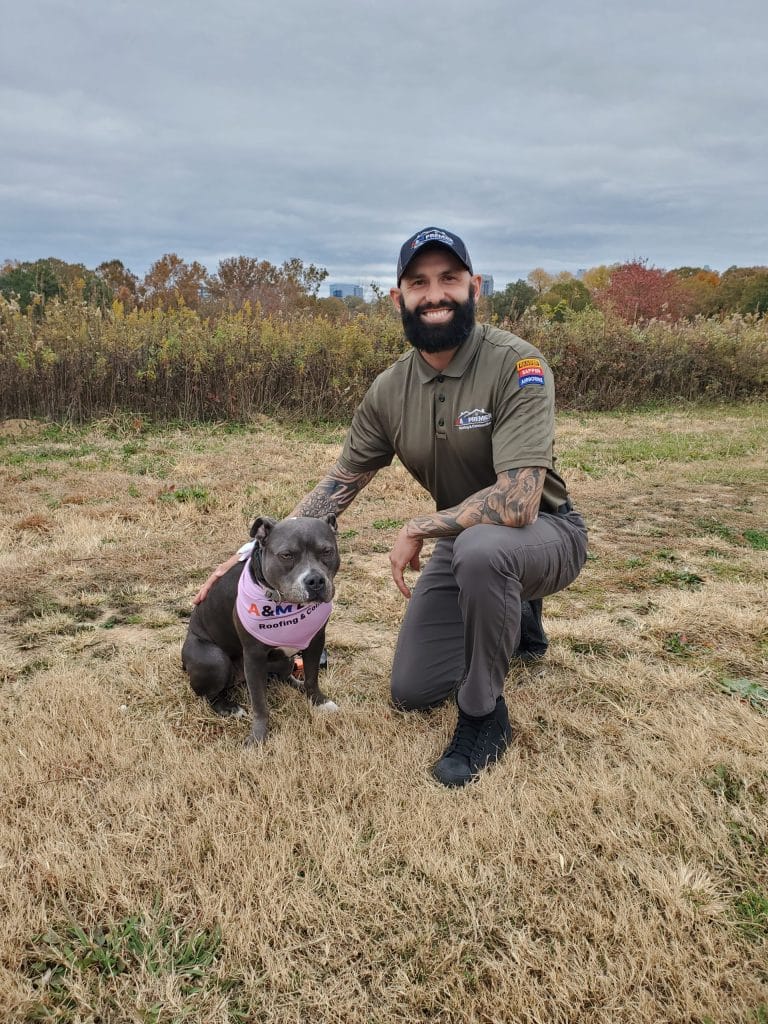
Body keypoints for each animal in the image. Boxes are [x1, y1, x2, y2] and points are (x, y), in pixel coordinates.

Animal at [182, 512, 342, 745]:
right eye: (286, 555)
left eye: (327, 551)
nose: (315, 580)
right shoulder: (254, 656)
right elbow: (259, 704)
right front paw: (258, 737)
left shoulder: (315, 641)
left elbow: (312, 677)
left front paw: (319, 702)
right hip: (214, 659)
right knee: (210, 695)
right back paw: (229, 708)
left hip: (285, 661)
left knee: (283, 675)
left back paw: (298, 685)